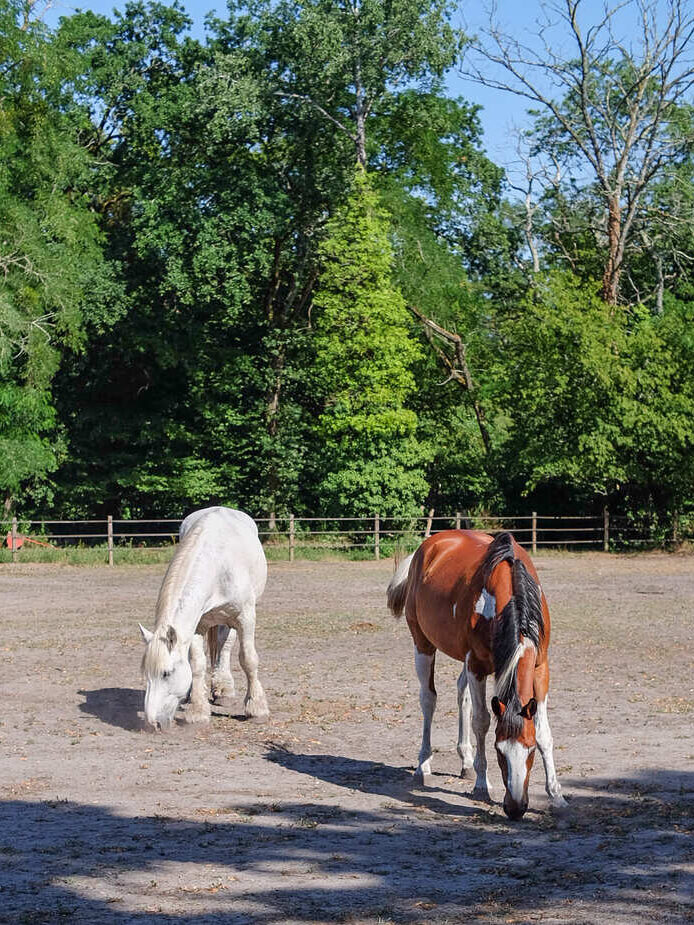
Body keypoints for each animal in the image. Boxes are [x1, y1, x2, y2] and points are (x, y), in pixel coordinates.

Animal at [138, 506, 269, 729]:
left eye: (166, 673)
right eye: (146, 674)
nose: (152, 723)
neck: (218, 564)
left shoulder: (245, 617)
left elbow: (248, 659)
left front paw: (256, 708)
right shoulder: (197, 625)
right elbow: (197, 664)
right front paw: (197, 711)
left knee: (225, 647)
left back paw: (225, 691)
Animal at [387, 529, 566, 820]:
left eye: (529, 752)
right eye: (499, 751)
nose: (516, 808)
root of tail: (428, 546)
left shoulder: (540, 668)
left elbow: (544, 732)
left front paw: (556, 794)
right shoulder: (477, 665)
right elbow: (481, 721)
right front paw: (482, 786)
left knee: (462, 694)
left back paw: (466, 762)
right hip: (423, 644)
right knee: (429, 699)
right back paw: (423, 766)